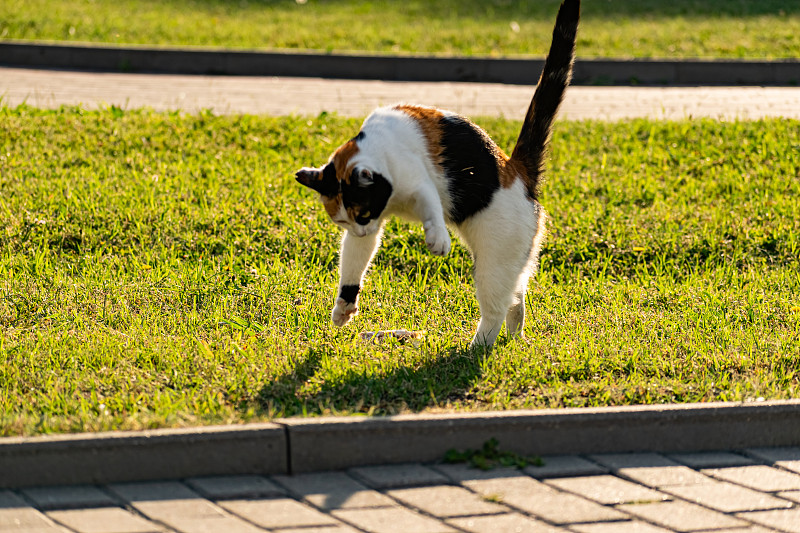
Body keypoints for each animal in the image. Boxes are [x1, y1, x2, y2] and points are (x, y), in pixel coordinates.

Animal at [296, 0, 580, 348]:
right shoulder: (371, 226)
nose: (362, 230)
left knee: (497, 306)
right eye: (343, 222)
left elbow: (431, 202)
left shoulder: (417, 179)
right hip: (513, 260)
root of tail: (517, 169)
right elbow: (354, 263)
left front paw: (438, 239)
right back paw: (514, 337)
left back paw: (477, 347)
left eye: (362, 214)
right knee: (516, 296)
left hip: (494, 259)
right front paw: (343, 308)